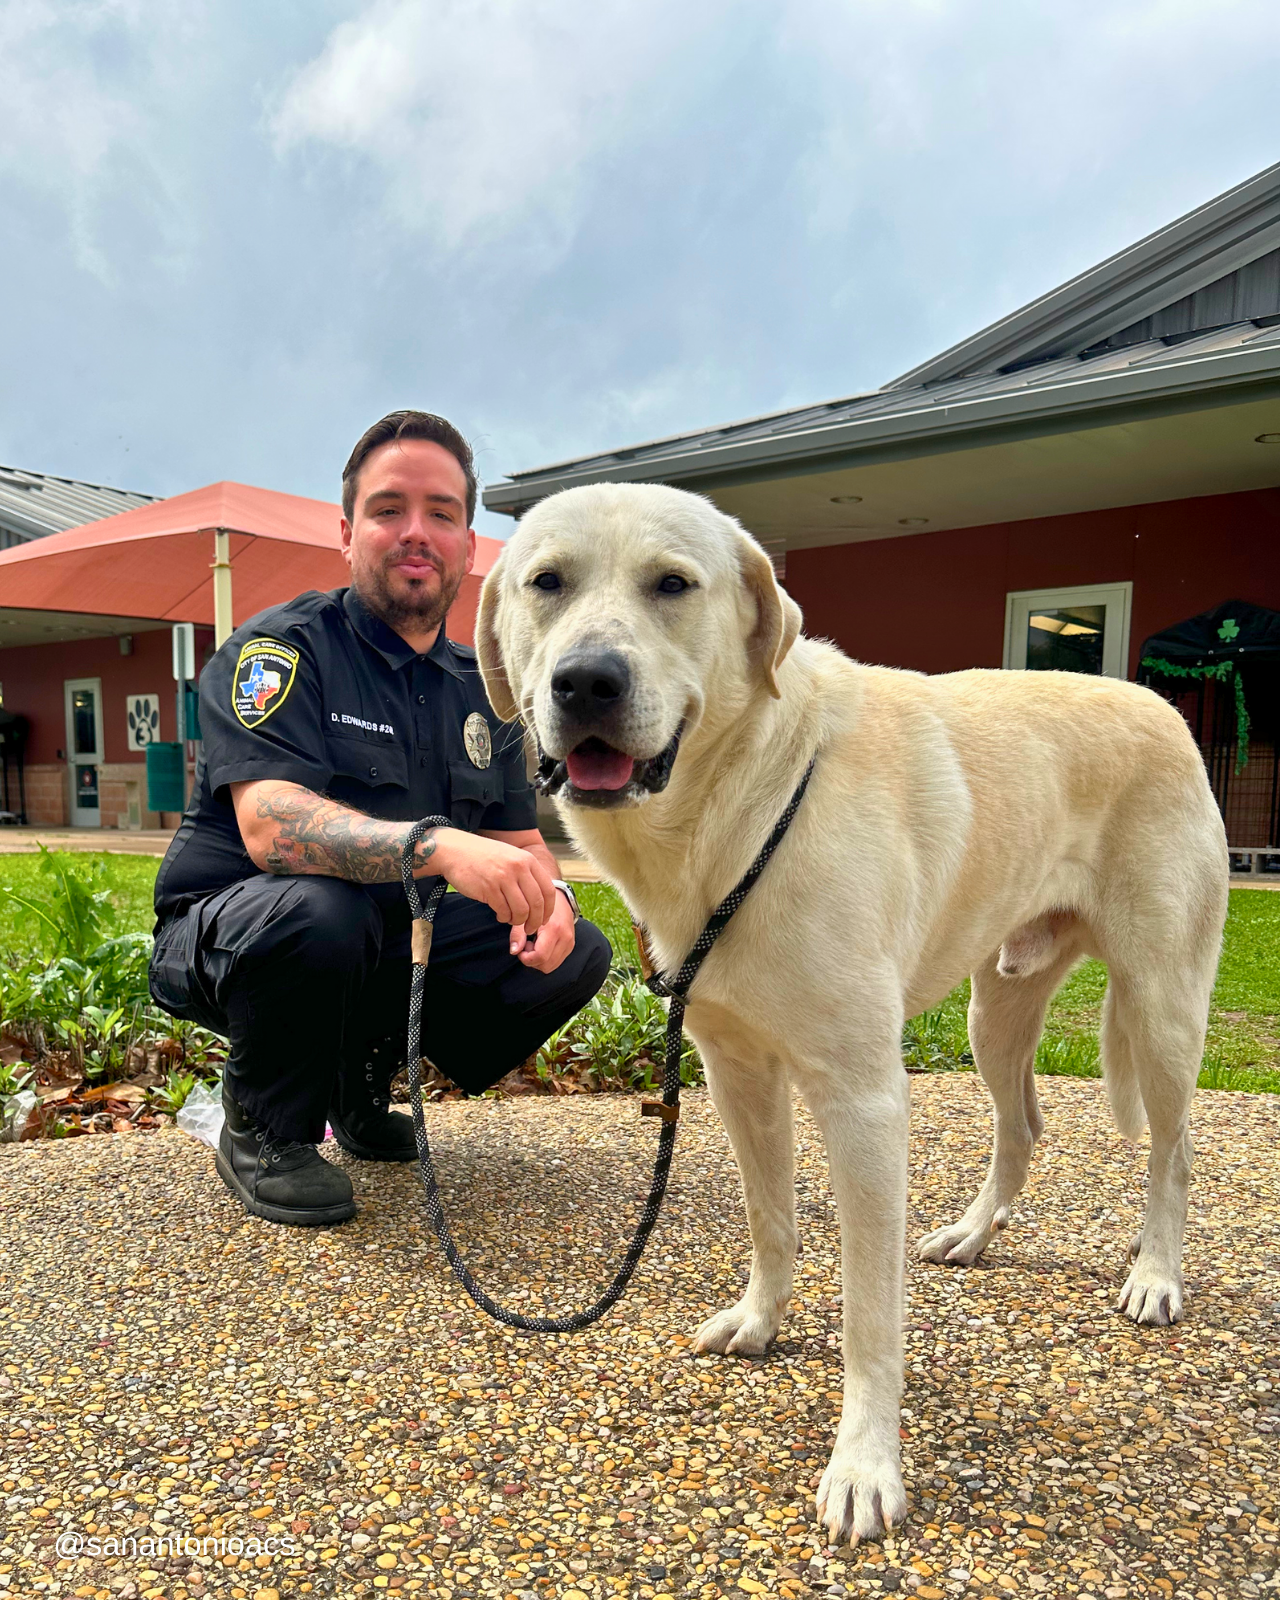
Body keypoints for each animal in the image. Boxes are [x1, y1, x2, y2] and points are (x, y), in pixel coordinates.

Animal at [473, 480, 1228, 1542]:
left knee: (1174, 1151)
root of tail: (1155, 700)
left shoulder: (865, 1100)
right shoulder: (738, 1075)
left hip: (1160, 1007)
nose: (586, 682)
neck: (738, 810)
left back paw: (1156, 1273)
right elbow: (772, 1220)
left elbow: (872, 1312)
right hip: (994, 1012)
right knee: (1024, 1127)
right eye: (546, 583)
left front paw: (866, 1465)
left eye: (673, 585)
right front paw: (760, 1321)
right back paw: (973, 1235)